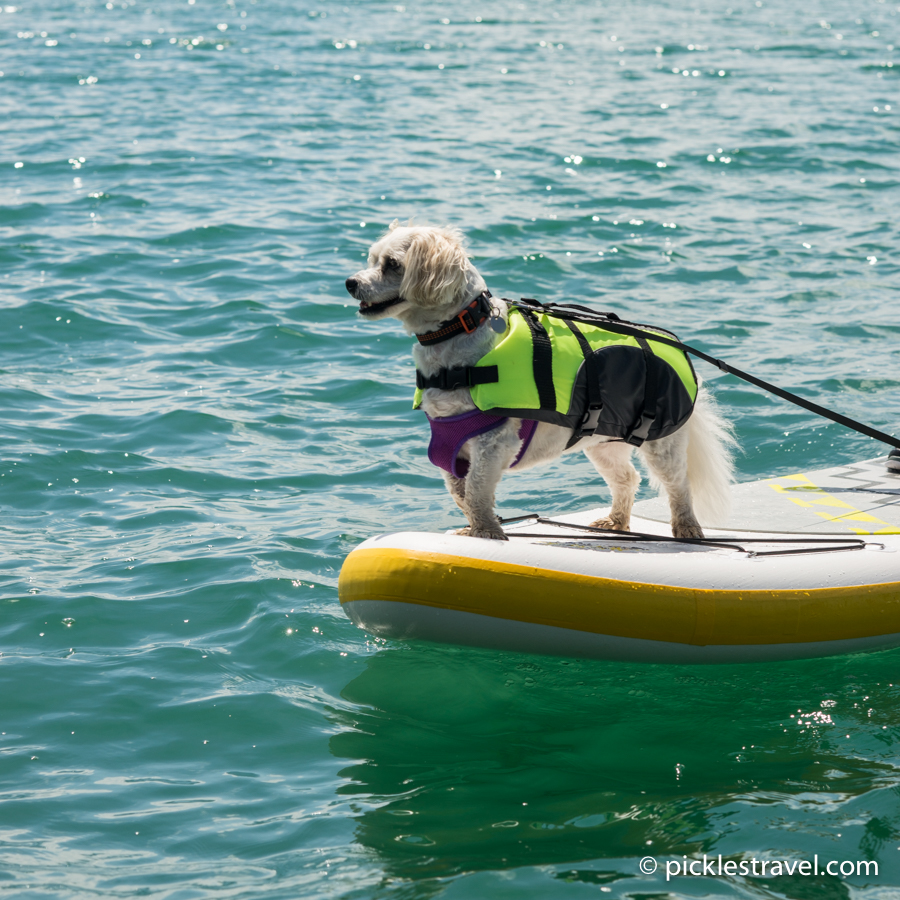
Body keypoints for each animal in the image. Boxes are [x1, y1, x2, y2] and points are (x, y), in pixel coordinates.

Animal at [344, 221, 732, 536]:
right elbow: (460, 493)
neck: (456, 330)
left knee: (678, 485)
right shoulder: (449, 443)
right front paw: (475, 527)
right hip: (604, 442)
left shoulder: (494, 441)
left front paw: (486, 532)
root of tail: (676, 348)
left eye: (392, 264)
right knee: (627, 478)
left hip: (662, 442)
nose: (350, 282)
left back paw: (686, 527)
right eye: (371, 260)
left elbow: (477, 488)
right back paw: (617, 521)